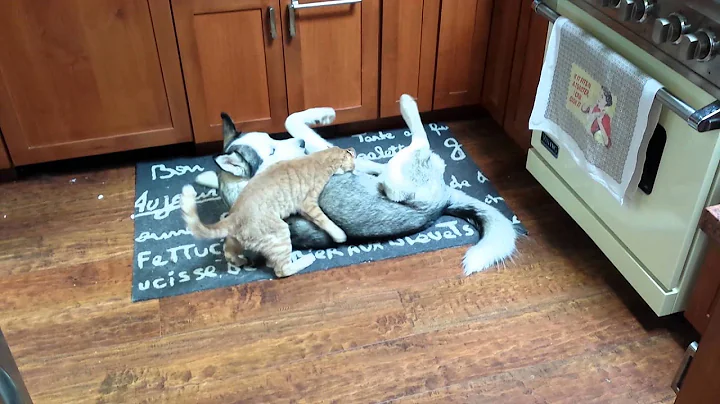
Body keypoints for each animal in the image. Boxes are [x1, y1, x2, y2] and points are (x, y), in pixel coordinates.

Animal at [181, 146, 356, 278]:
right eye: (351, 158)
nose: (353, 150)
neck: (319, 158)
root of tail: (234, 217)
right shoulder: (308, 204)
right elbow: (325, 221)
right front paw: (340, 235)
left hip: (236, 240)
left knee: (229, 253)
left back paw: (243, 261)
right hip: (281, 233)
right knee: (281, 270)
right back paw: (306, 259)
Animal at [194, 94, 516, 274]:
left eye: (271, 139)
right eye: (272, 149)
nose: (300, 146)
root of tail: (442, 202)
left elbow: (291, 120)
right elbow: (291, 121)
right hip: (400, 179)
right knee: (420, 141)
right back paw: (406, 103)